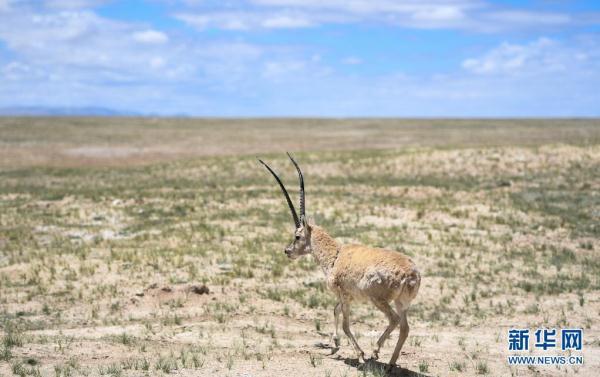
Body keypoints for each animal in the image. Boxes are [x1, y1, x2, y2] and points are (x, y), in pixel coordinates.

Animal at [258, 153, 422, 368]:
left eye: (297, 236)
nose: (287, 251)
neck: (336, 255)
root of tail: (411, 275)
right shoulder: (347, 298)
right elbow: (335, 310)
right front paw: (335, 345)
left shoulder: (344, 296)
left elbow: (345, 324)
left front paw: (360, 355)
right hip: (402, 303)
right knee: (405, 327)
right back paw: (390, 365)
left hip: (379, 300)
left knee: (394, 320)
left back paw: (375, 353)